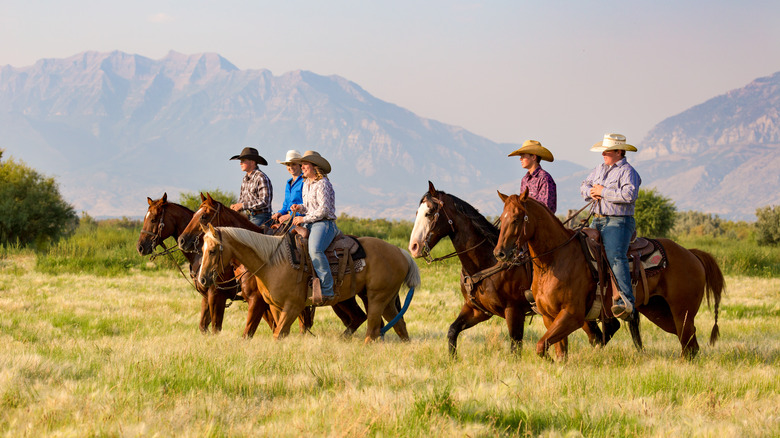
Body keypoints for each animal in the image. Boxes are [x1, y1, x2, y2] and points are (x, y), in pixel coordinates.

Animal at [138, 192, 280, 336]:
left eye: (154, 219)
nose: (140, 247)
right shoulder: (206, 297)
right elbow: (203, 326)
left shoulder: (217, 295)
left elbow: (216, 328)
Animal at [181, 192, 380, 338]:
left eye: (204, 216)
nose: (183, 240)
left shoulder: (254, 300)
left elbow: (248, 332)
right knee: (358, 318)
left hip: (343, 299)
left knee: (358, 318)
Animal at [195, 226, 420, 342]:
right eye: (202, 248)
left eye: (212, 250)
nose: (202, 279)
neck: (273, 262)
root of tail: (401, 252)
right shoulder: (275, 307)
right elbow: (279, 333)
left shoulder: (293, 306)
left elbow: (277, 333)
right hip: (386, 300)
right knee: (399, 326)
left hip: (376, 298)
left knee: (373, 329)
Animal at [406, 181, 632, 356]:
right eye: (417, 212)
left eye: (430, 213)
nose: (414, 247)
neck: (487, 262)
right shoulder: (478, 310)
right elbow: (452, 331)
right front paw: (452, 360)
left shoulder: (513, 310)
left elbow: (515, 346)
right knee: (600, 333)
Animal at [494, 190, 724, 362]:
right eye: (501, 218)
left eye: (516, 218)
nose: (500, 253)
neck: (554, 261)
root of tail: (691, 254)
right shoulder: (549, 317)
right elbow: (558, 351)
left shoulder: (572, 315)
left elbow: (542, 346)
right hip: (660, 312)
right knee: (690, 344)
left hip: (682, 312)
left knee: (689, 345)